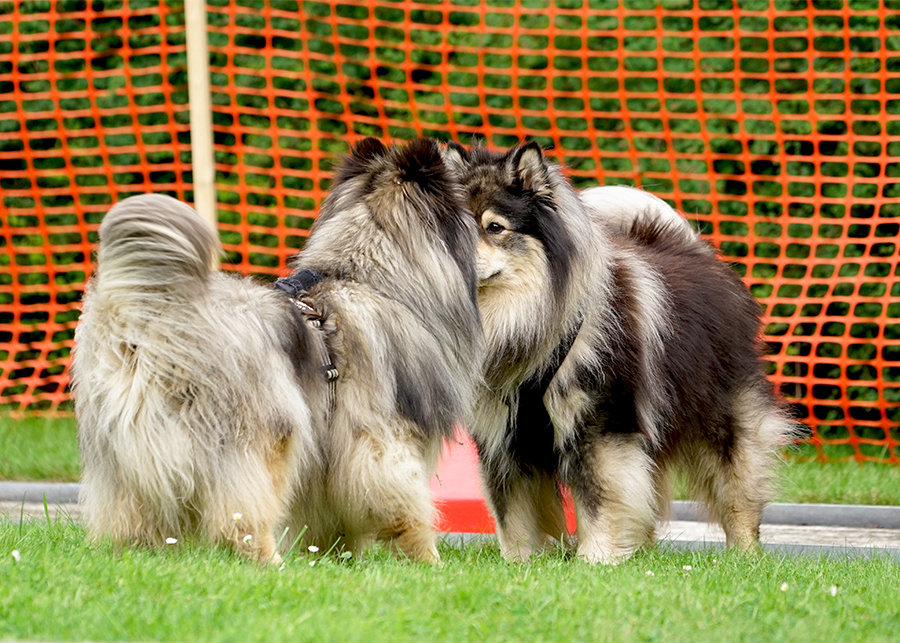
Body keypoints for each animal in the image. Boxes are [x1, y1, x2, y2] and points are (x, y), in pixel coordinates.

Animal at [73, 137, 482, 564]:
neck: (364, 277)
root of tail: (150, 322)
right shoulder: (382, 441)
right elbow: (407, 506)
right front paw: (427, 560)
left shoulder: (326, 456)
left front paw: (333, 557)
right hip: (262, 442)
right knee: (240, 520)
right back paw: (270, 563)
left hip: (122, 458)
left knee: (130, 520)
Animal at [442, 142, 796, 564]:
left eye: (494, 227)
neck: (528, 324)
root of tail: (693, 250)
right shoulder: (503, 439)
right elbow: (514, 514)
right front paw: (520, 563)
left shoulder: (599, 429)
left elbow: (601, 501)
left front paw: (596, 559)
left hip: (722, 423)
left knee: (737, 495)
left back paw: (744, 555)